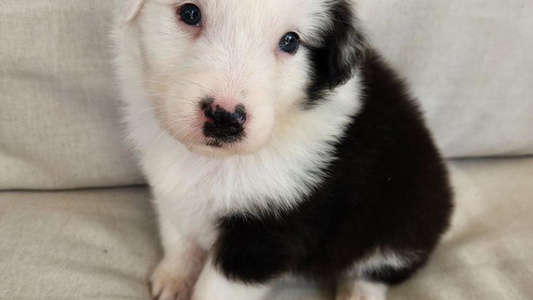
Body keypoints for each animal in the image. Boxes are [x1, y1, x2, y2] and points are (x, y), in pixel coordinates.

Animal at [112, 1, 454, 298]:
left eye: (290, 41)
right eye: (190, 13)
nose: (225, 118)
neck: (214, 161)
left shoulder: (269, 229)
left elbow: (217, 288)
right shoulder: (171, 191)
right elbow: (180, 239)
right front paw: (174, 278)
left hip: (404, 219)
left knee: (377, 267)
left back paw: (358, 292)